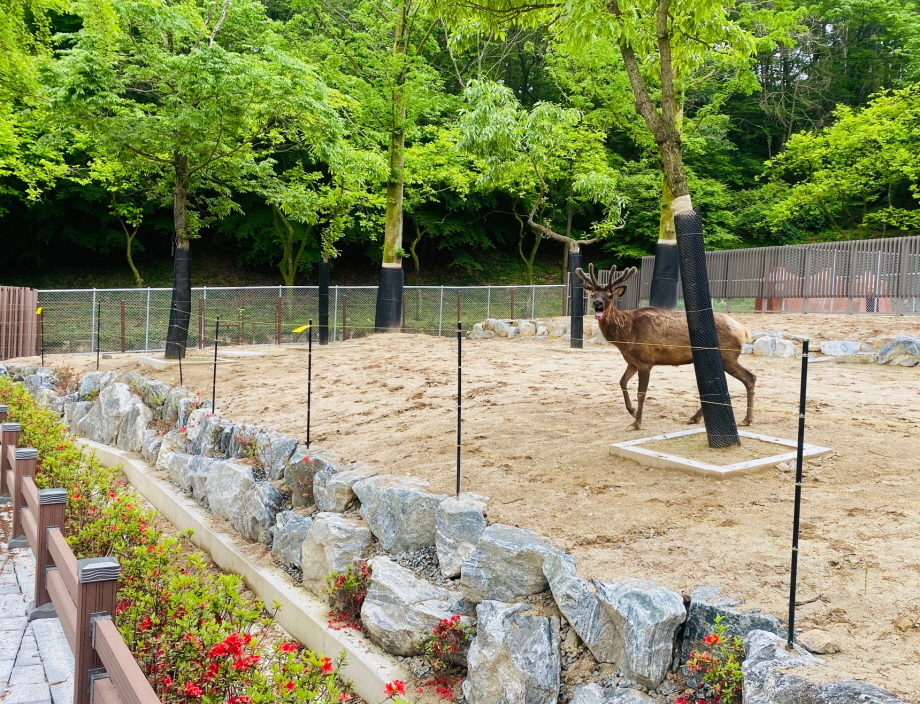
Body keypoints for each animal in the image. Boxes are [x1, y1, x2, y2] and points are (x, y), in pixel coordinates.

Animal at [580, 264, 760, 428]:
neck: (625, 337)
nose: (597, 303)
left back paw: (747, 419)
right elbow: (622, 382)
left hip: (727, 355)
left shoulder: (646, 360)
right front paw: (632, 411)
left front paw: (637, 423)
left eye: (609, 295)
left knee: (750, 377)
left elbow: (641, 393)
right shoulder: (632, 362)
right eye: (593, 294)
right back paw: (695, 418)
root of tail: (743, 331)